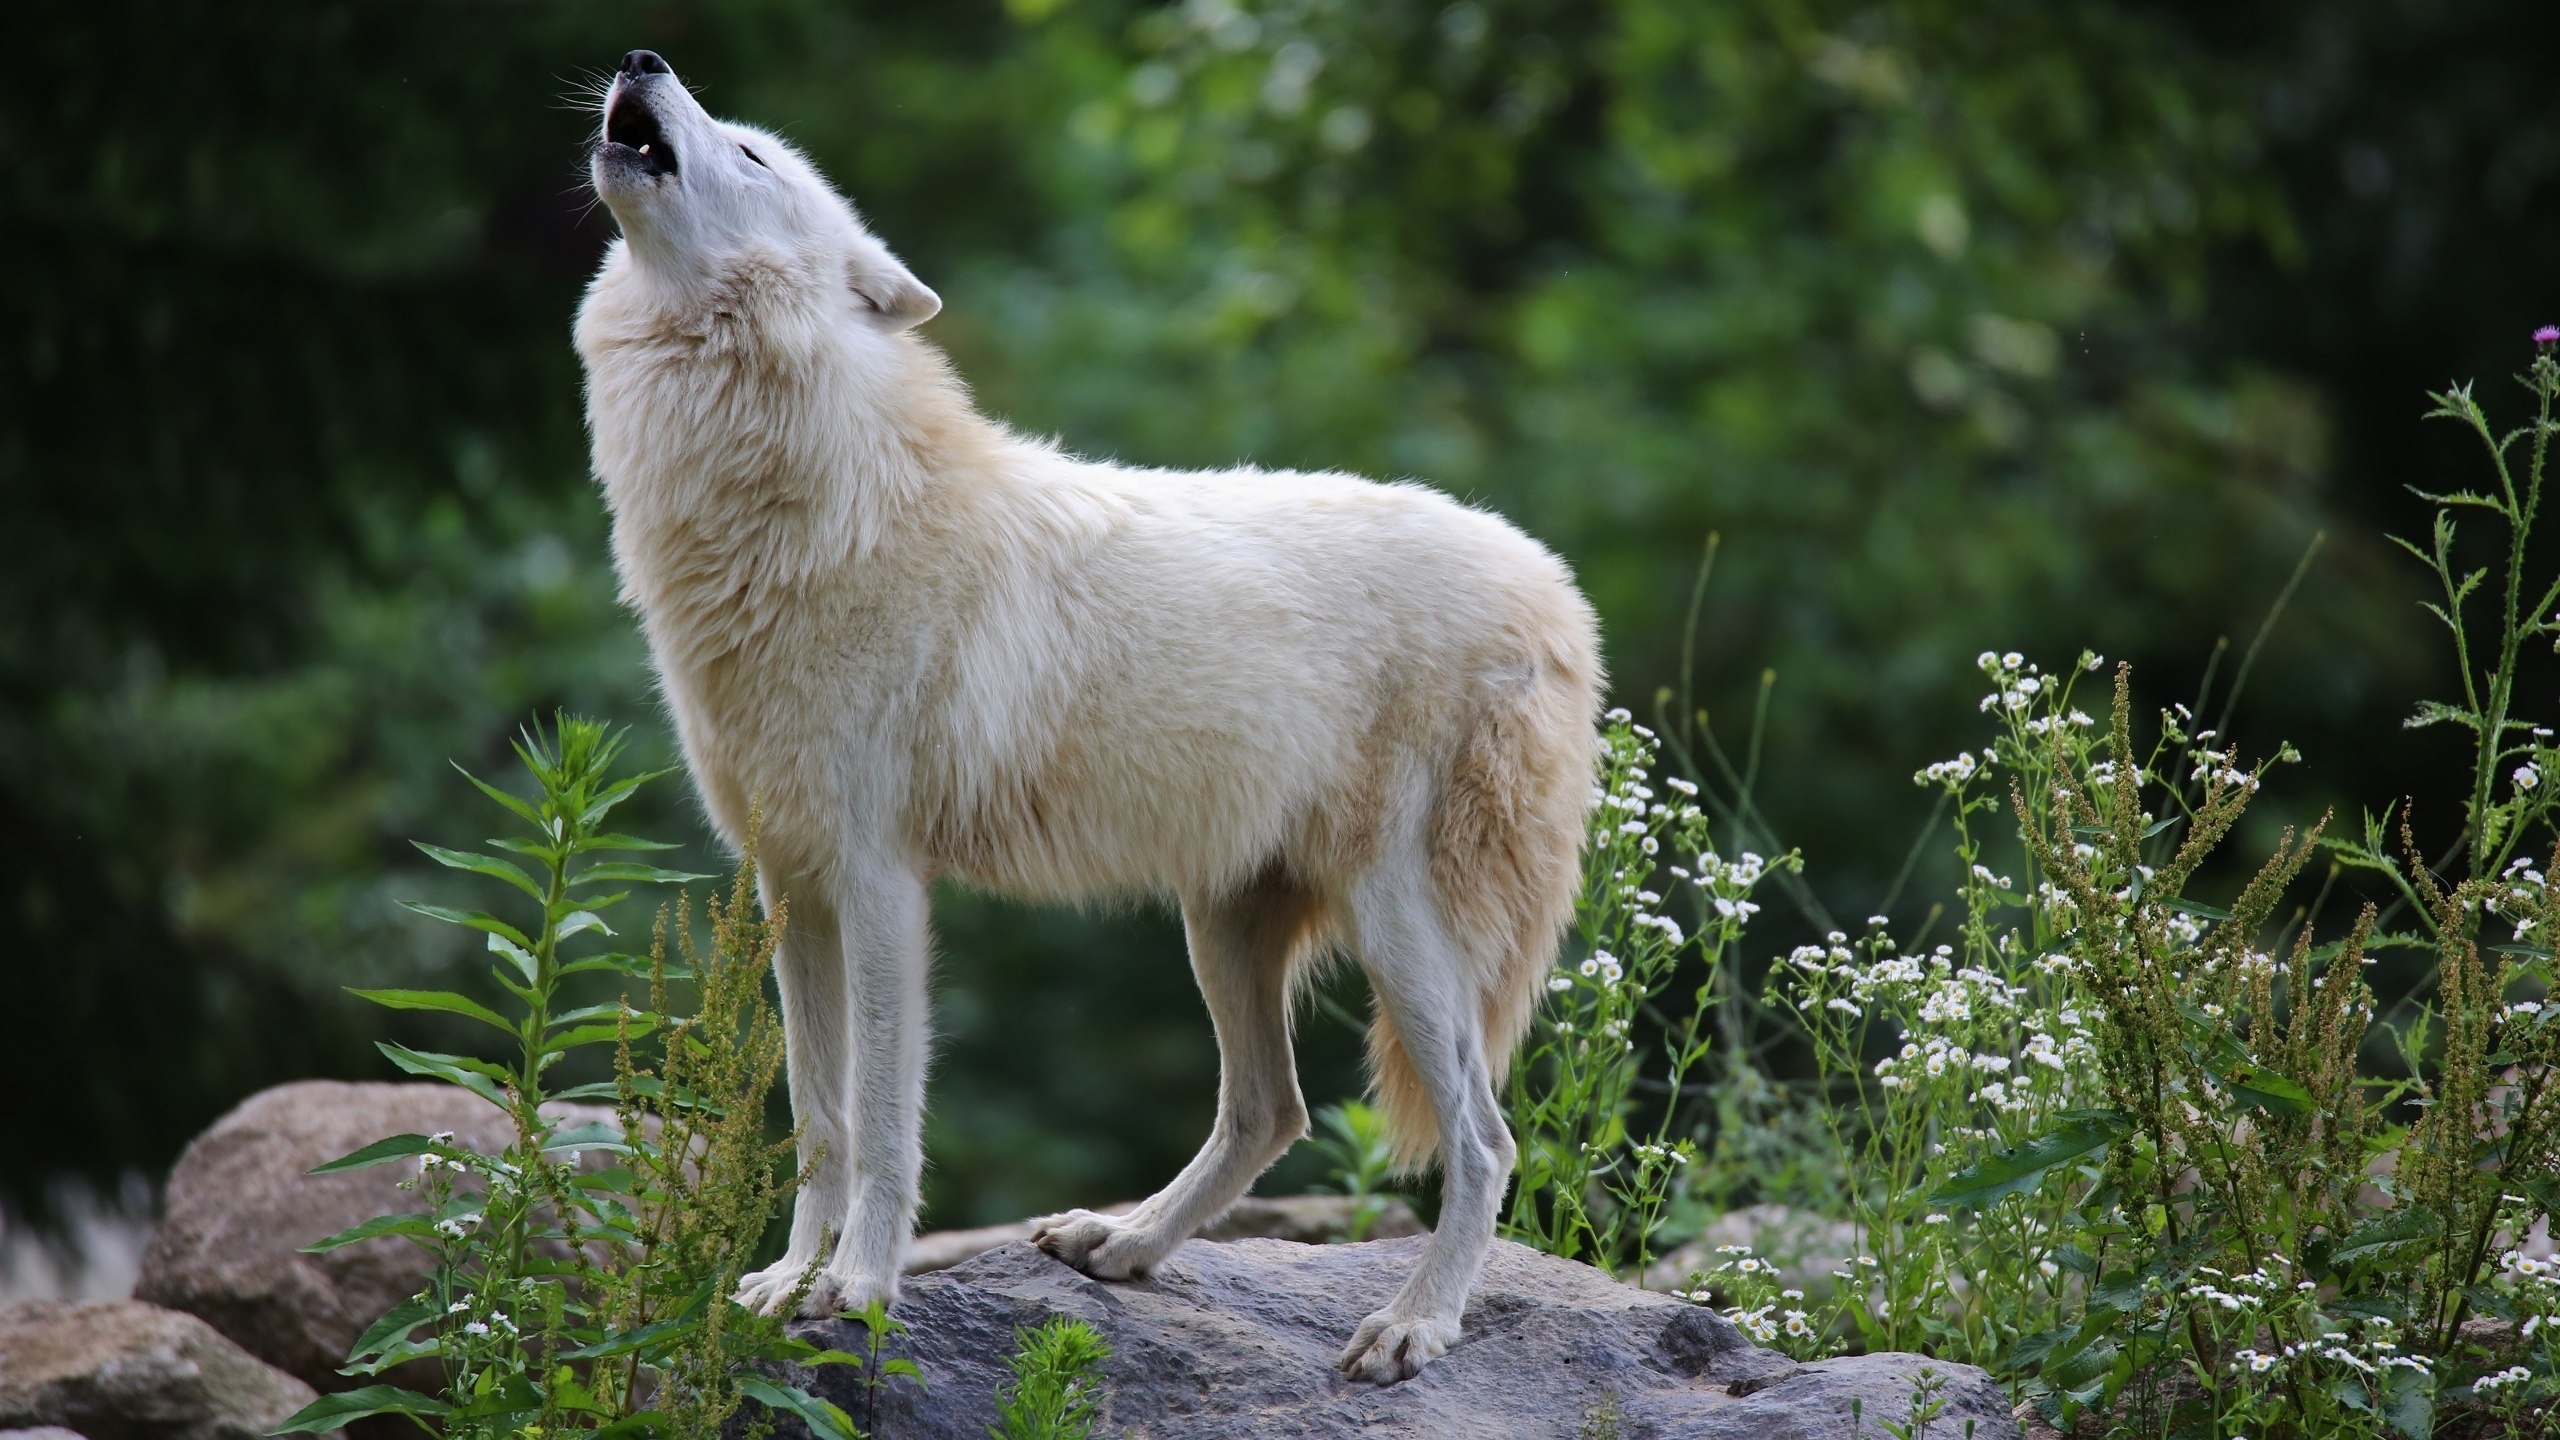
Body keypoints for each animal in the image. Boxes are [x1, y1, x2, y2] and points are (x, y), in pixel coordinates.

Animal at [581, 47, 1597, 1383]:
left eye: (749, 153)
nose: (643, 59)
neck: (812, 503)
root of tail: (1555, 587)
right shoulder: (789, 888)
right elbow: (818, 1123)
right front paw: (785, 1285)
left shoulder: (880, 884)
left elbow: (886, 1122)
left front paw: (858, 1289)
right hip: (1222, 925)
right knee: (1270, 1107)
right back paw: (1122, 1245)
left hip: (1401, 931)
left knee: (1481, 1137)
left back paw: (1414, 1325)